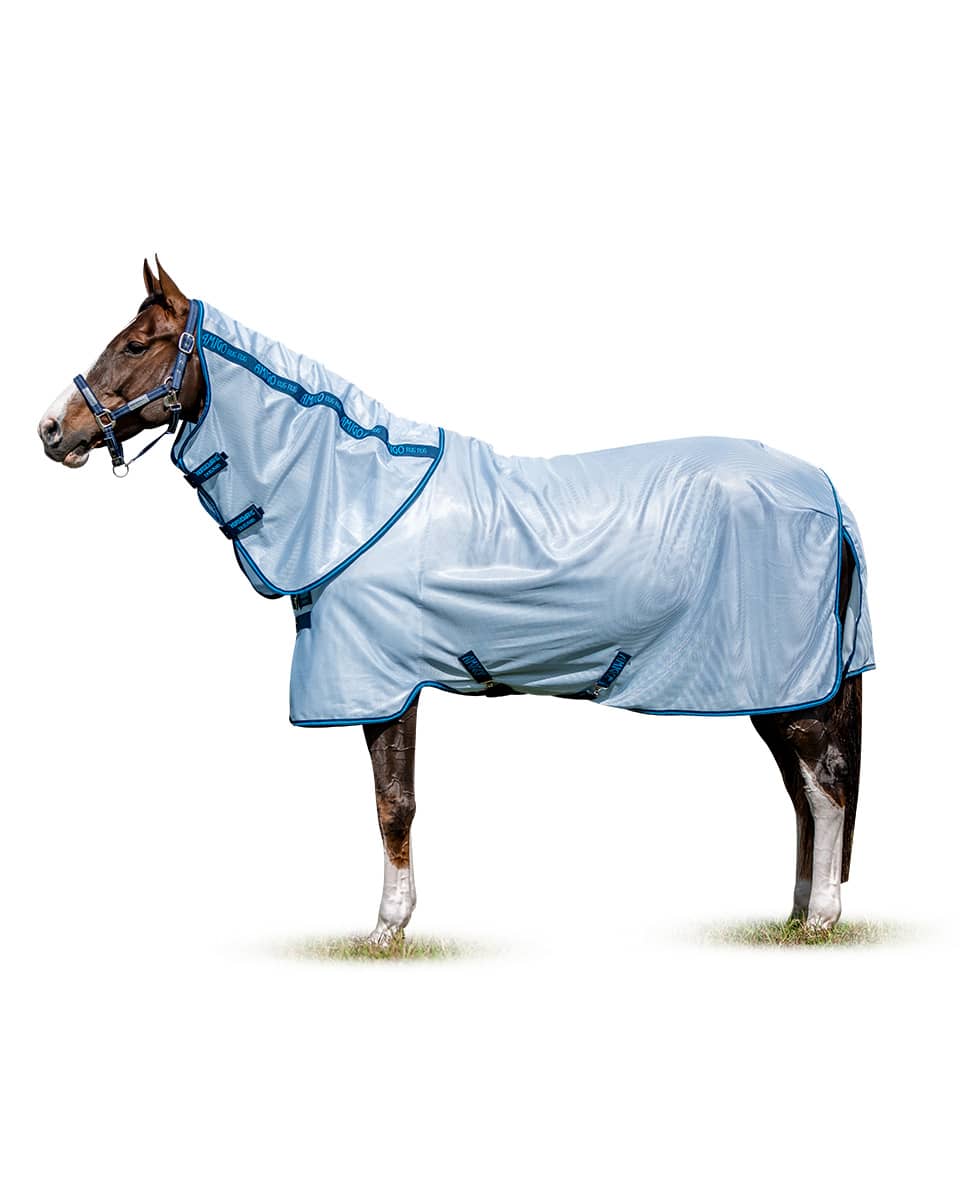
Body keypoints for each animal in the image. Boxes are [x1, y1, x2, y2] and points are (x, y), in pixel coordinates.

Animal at [39, 259, 873, 943]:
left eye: (137, 345)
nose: (52, 429)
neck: (358, 497)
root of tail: (826, 493)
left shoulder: (382, 684)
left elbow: (393, 805)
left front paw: (387, 930)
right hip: (779, 691)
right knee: (803, 793)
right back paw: (795, 914)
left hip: (787, 689)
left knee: (824, 788)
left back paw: (822, 917)